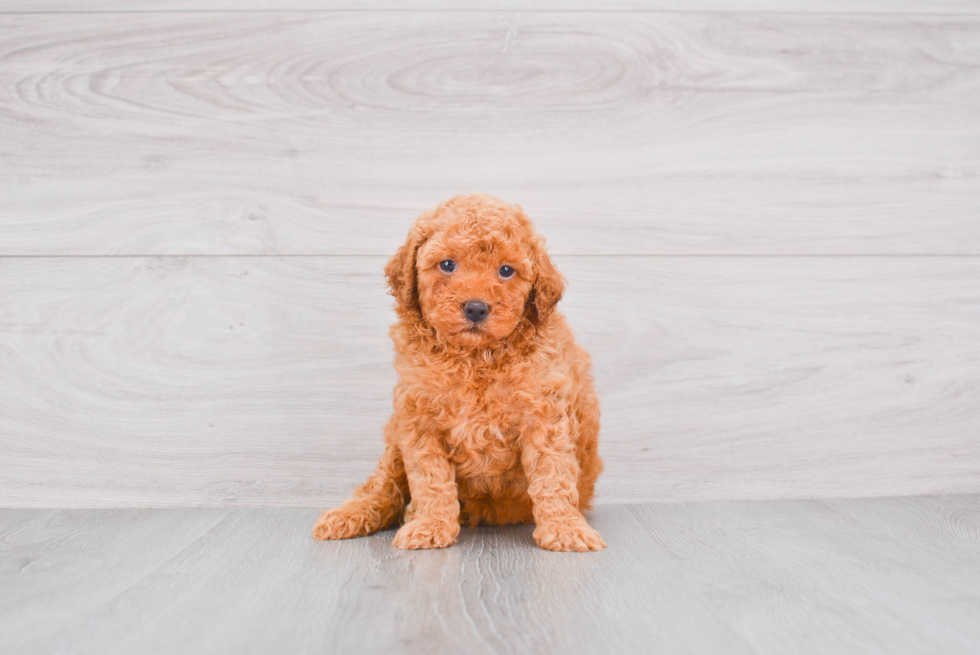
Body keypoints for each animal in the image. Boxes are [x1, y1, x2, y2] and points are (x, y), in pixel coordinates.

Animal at [314, 192, 604, 552]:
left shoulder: (544, 415)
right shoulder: (418, 419)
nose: (476, 308)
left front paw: (565, 528)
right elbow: (430, 478)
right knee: (384, 486)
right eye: (447, 265)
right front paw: (430, 525)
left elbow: (553, 473)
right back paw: (351, 515)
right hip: (394, 442)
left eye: (506, 271)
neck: (474, 357)